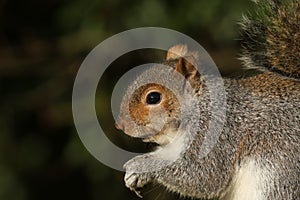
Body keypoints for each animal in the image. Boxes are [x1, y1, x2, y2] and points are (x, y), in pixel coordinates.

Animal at [115, 0, 300, 199]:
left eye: (153, 97)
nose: (120, 125)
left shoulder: (218, 132)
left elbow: (202, 175)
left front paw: (139, 165)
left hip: (280, 175)